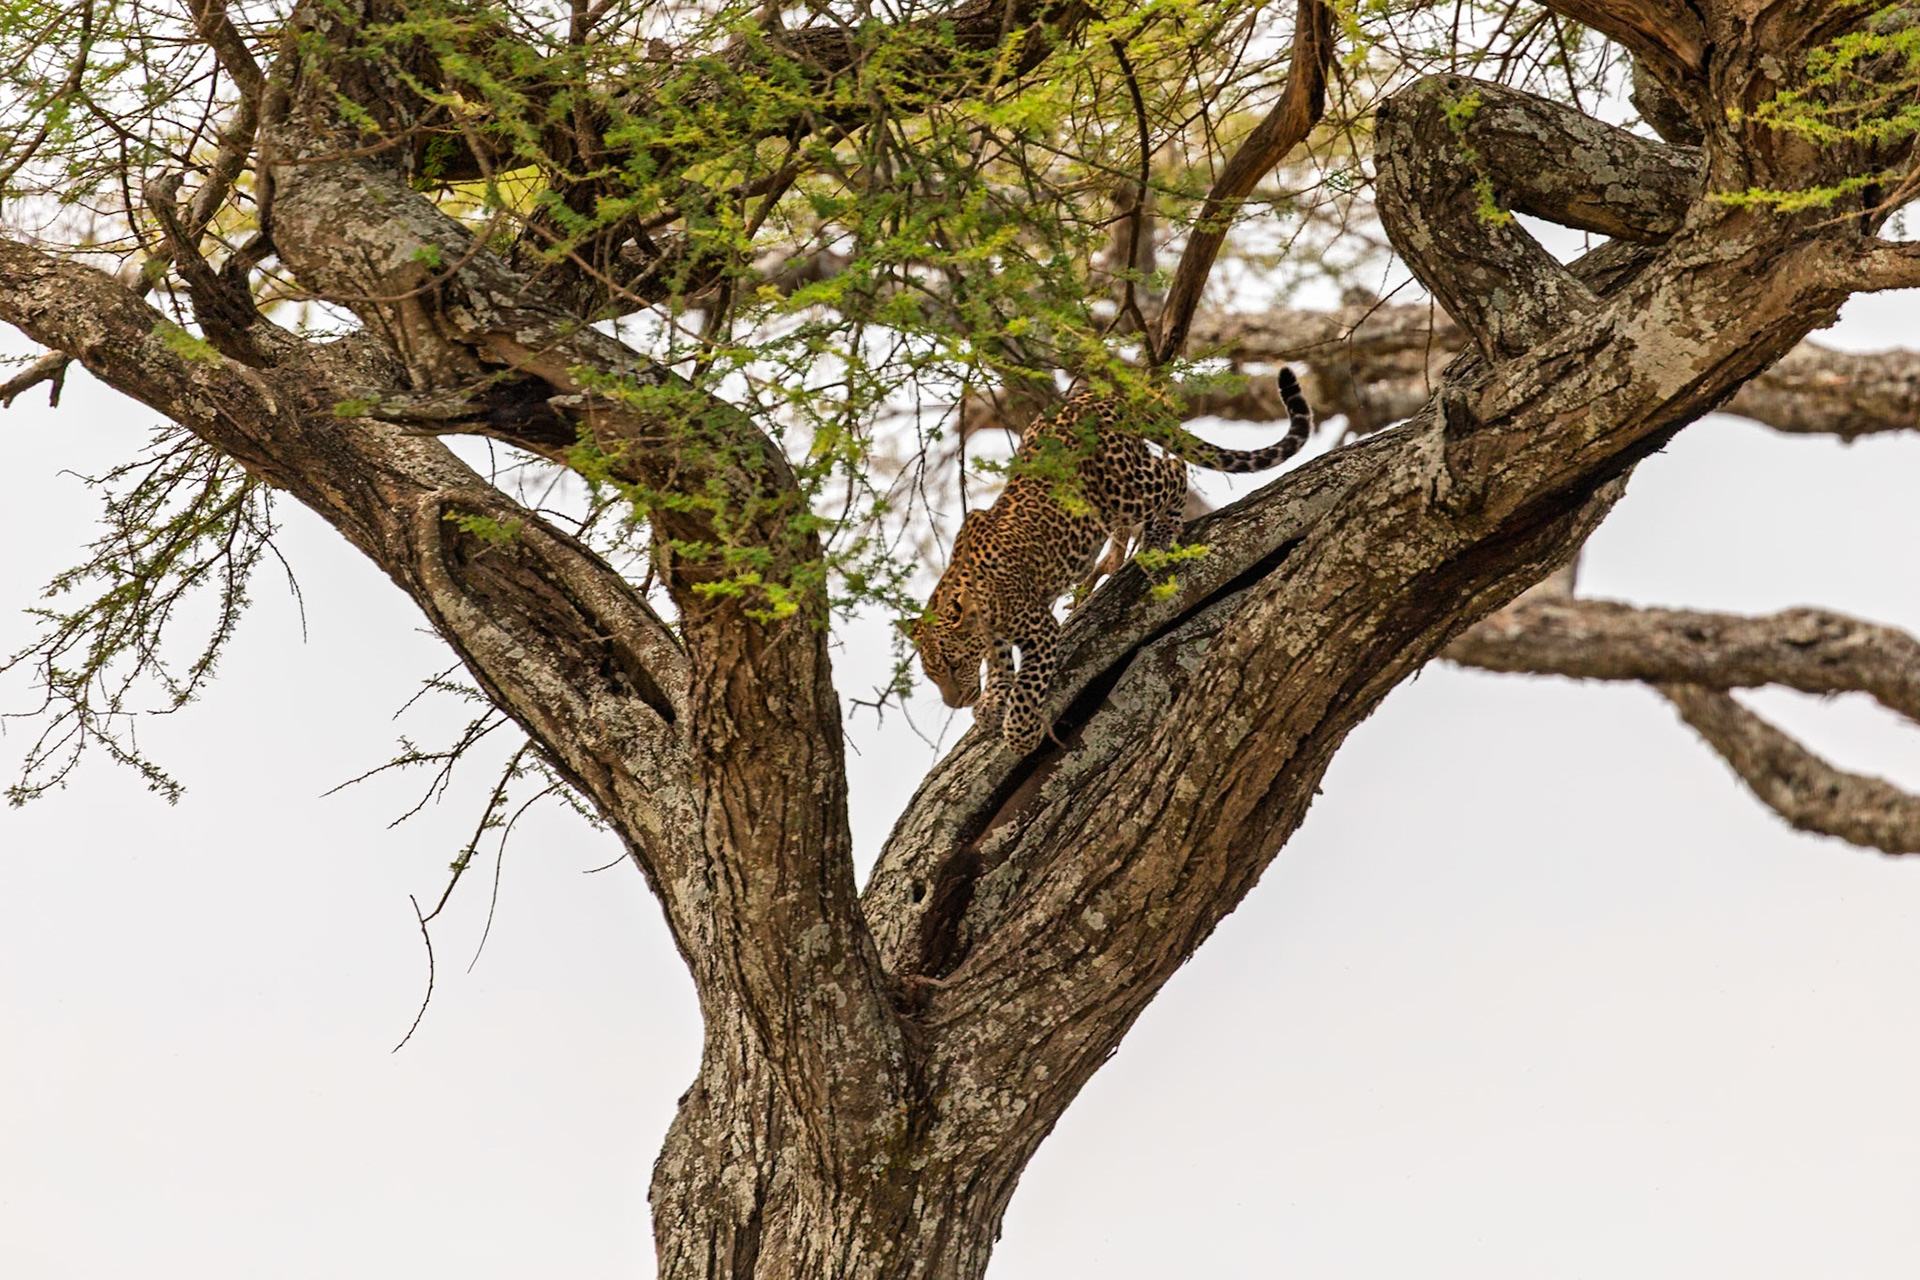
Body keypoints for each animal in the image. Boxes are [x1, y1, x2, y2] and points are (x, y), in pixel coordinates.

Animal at [905, 367, 1314, 753]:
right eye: (933, 674)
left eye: (954, 664)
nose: (955, 703)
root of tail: (1100, 398)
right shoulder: (999, 635)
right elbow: (1000, 665)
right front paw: (992, 703)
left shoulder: (1040, 627)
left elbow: (1027, 686)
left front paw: (1020, 733)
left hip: (1126, 488)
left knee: (1173, 469)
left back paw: (1159, 537)